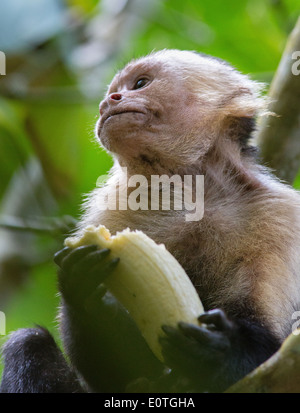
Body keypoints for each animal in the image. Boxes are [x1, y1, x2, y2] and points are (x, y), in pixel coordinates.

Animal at [0, 50, 300, 392]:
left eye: (140, 83)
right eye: (113, 91)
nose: (108, 102)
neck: (192, 194)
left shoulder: (281, 216)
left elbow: (272, 347)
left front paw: (221, 350)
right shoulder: (111, 209)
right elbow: (118, 375)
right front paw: (82, 286)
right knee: (28, 342)